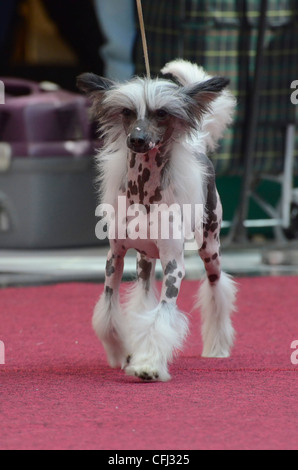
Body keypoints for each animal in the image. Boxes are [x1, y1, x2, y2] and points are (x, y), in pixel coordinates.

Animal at [77, 59, 237, 382]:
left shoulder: (174, 265)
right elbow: (109, 311)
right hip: (144, 258)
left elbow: (161, 317)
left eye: (161, 113)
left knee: (217, 288)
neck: (144, 191)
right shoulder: (115, 257)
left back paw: (217, 347)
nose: (137, 139)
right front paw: (122, 352)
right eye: (127, 112)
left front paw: (148, 364)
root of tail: (199, 148)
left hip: (210, 247)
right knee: (143, 293)